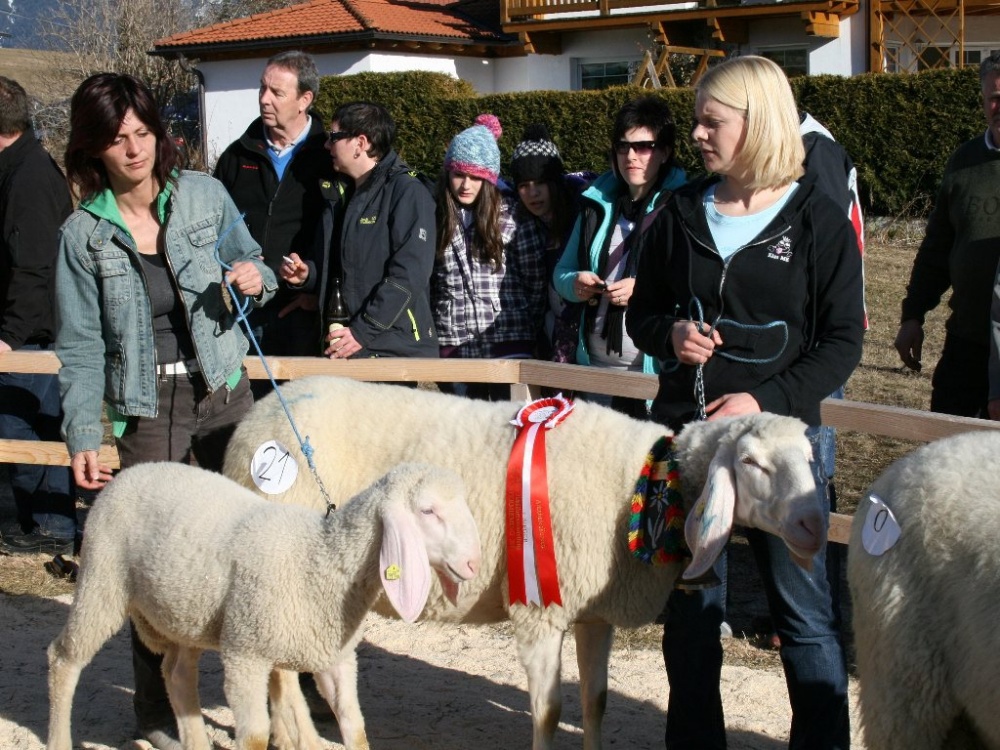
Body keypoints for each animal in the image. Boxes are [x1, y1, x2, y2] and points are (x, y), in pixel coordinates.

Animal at [46, 461, 481, 750]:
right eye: (428, 511)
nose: (474, 564)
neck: (320, 560)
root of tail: (128, 472)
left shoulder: (334, 656)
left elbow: (354, 727)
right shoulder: (246, 656)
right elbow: (254, 736)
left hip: (187, 611)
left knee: (177, 674)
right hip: (102, 581)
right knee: (63, 659)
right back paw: (59, 738)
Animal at [222, 376, 827, 750]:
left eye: (810, 456)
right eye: (751, 462)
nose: (814, 526)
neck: (650, 486)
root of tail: (258, 415)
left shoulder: (594, 611)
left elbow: (595, 702)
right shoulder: (540, 608)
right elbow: (548, 712)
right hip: (287, 571)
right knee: (280, 671)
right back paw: (298, 736)